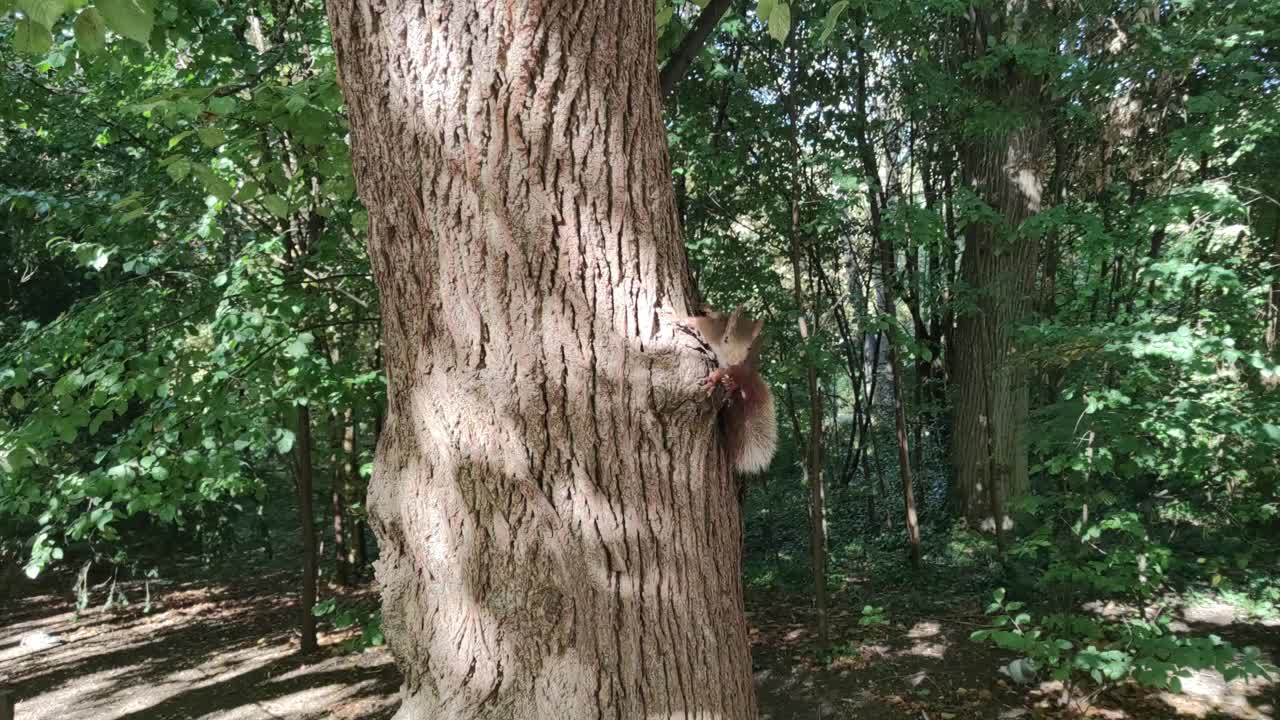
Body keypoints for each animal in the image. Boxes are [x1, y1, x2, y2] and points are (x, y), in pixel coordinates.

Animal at [675, 304, 773, 474]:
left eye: (749, 348)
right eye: (726, 339)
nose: (734, 361)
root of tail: (750, 375)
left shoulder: (734, 366)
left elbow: (722, 371)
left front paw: (714, 379)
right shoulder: (714, 329)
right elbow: (709, 318)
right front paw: (701, 311)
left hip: (742, 372)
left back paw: (729, 384)